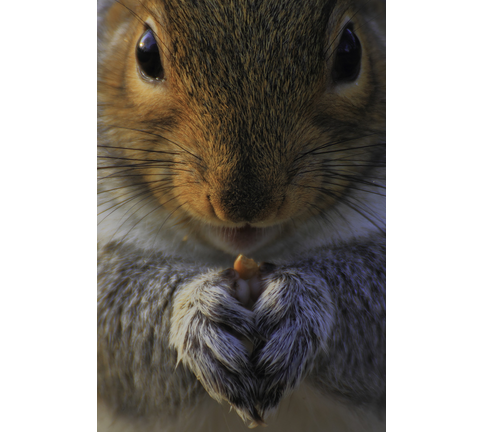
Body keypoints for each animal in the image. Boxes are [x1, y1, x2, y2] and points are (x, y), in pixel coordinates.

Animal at [97, 1, 386, 430]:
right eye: (145, 52)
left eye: (350, 54)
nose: (244, 205)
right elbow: (113, 313)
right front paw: (199, 314)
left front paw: (297, 301)